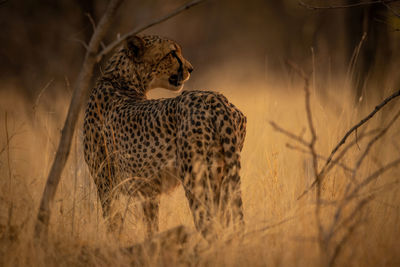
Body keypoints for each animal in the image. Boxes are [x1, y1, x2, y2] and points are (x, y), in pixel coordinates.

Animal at [83, 34, 247, 241]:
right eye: (172, 53)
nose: (191, 68)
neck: (119, 80)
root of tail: (216, 99)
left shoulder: (106, 183)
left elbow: (113, 223)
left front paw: (115, 243)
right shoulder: (147, 190)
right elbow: (150, 225)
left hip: (197, 181)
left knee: (209, 226)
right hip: (224, 178)